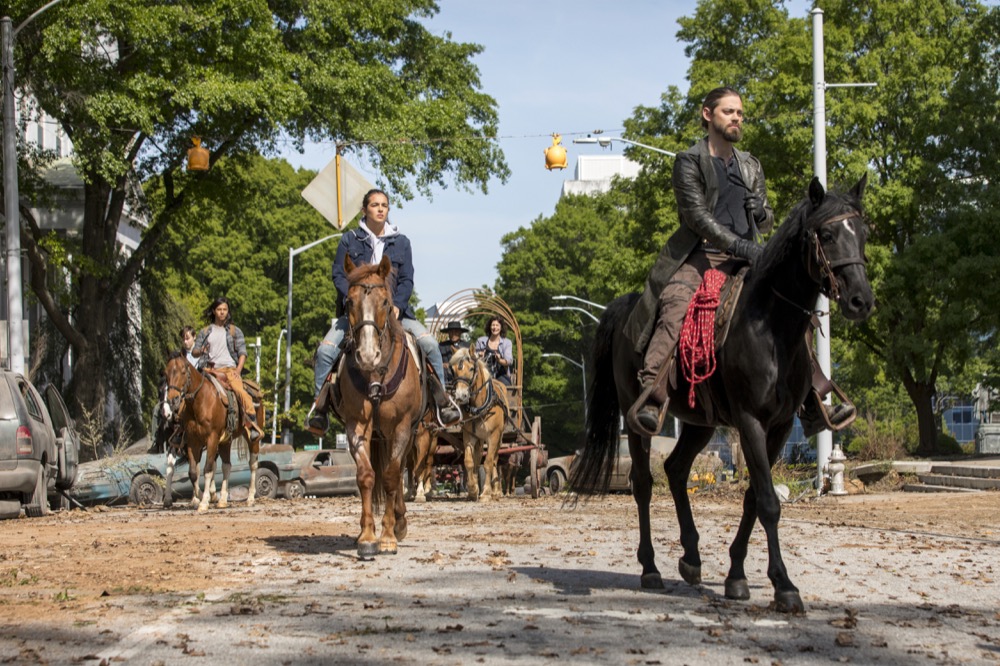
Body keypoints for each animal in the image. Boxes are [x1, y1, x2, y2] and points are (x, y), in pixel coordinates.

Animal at [160, 350, 264, 510]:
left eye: (183, 371)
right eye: (166, 373)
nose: (173, 400)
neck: (200, 401)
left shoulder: (212, 438)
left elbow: (208, 469)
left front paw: (204, 501)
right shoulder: (192, 442)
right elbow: (192, 472)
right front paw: (200, 497)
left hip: (251, 438)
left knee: (253, 463)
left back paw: (250, 498)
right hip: (225, 441)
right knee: (227, 466)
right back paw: (222, 500)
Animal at [328, 253, 422, 556]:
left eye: (385, 303)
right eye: (349, 302)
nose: (368, 355)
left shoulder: (402, 427)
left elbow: (392, 477)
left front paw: (389, 536)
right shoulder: (357, 425)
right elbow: (366, 476)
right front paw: (368, 537)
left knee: (400, 470)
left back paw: (399, 523)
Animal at [448, 348, 508, 498]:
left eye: (471, 368)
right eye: (453, 370)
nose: (460, 395)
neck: (479, 406)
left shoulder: (493, 436)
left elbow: (488, 462)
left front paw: (486, 492)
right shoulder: (469, 436)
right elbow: (469, 462)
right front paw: (472, 489)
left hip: (499, 437)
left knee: (494, 459)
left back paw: (496, 490)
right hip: (480, 439)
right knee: (478, 458)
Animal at [572, 174, 876, 608]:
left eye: (863, 233)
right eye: (829, 234)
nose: (860, 300)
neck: (772, 327)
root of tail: (626, 307)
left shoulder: (780, 426)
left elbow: (754, 497)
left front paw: (736, 576)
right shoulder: (750, 420)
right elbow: (768, 502)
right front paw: (784, 585)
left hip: (701, 422)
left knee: (676, 470)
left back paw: (691, 558)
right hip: (637, 418)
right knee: (644, 483)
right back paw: (650, 569)